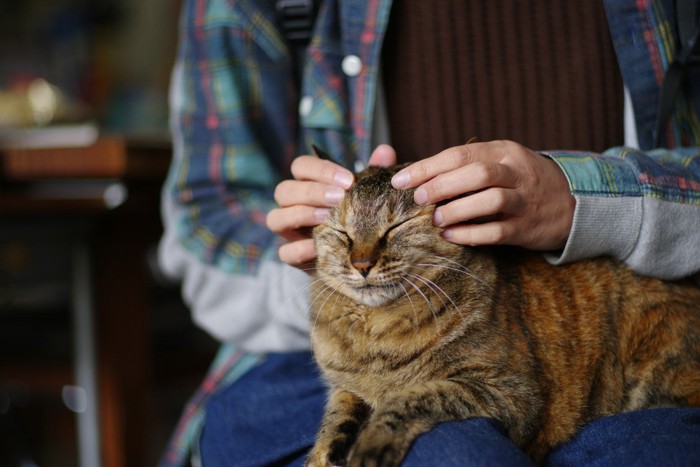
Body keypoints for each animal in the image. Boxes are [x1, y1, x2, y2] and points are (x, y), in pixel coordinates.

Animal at [306, 165, 700, 467]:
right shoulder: (344, 386)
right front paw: (325, 452)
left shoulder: (511, 395)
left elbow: (412, 397)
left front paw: (371, 442)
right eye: (342, 234)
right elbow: (335, 417)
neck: (375, 336)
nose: (361, 264)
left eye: (395, 228)